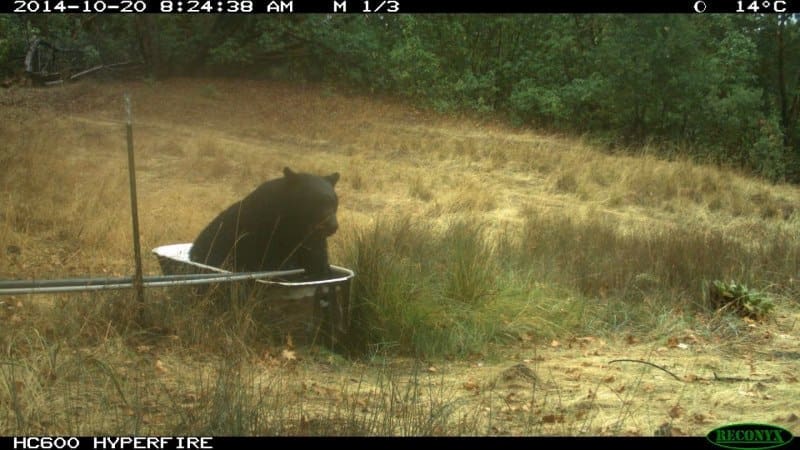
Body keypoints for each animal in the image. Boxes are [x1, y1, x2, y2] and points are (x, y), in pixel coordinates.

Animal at [189, 167, 340, 280]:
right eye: (315, 202)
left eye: (333, 202)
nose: (332, 226)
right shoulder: (263, 233)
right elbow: (272, 262)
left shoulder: (311, 239)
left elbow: (317, 257)